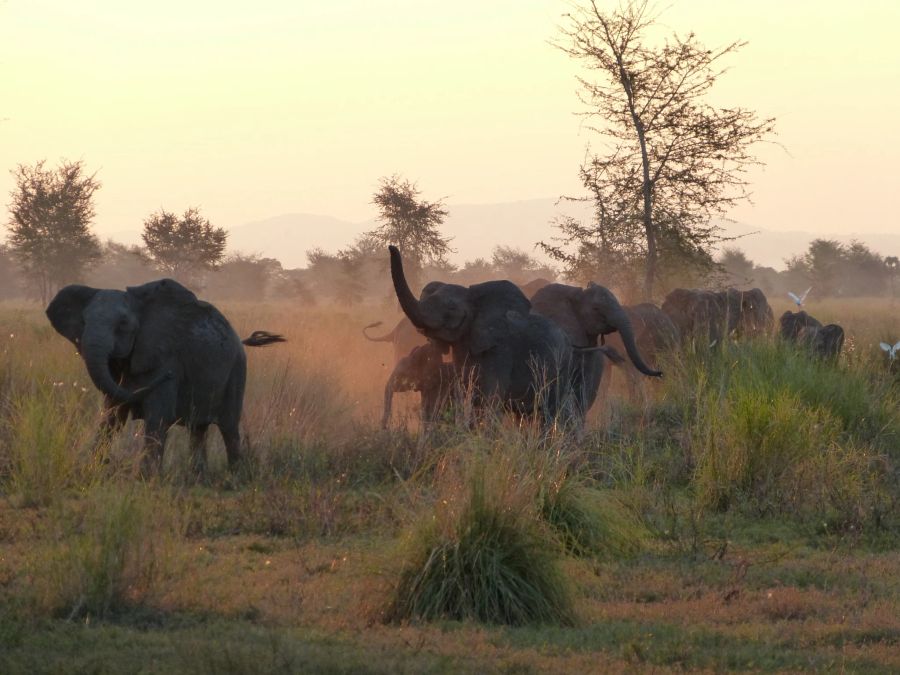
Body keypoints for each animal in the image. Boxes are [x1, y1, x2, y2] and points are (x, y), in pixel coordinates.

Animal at [46, 276, 284, 476]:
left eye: (123, 324)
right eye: (84, 322)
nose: (168, 376)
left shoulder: (165, 356)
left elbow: (157, 415)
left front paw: (145, 478)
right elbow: (112, 414)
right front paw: (94, 468)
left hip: (237, 370)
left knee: (229, 427)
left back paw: (235, 475)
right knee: (198, 429)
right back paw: (198, 476)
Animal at [386, 247, 584, 428]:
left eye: (451, 308)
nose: (391, 247)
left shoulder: (501, 352)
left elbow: (491, 401)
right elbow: (469, 398)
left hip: (561, 368)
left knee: (550, 411)